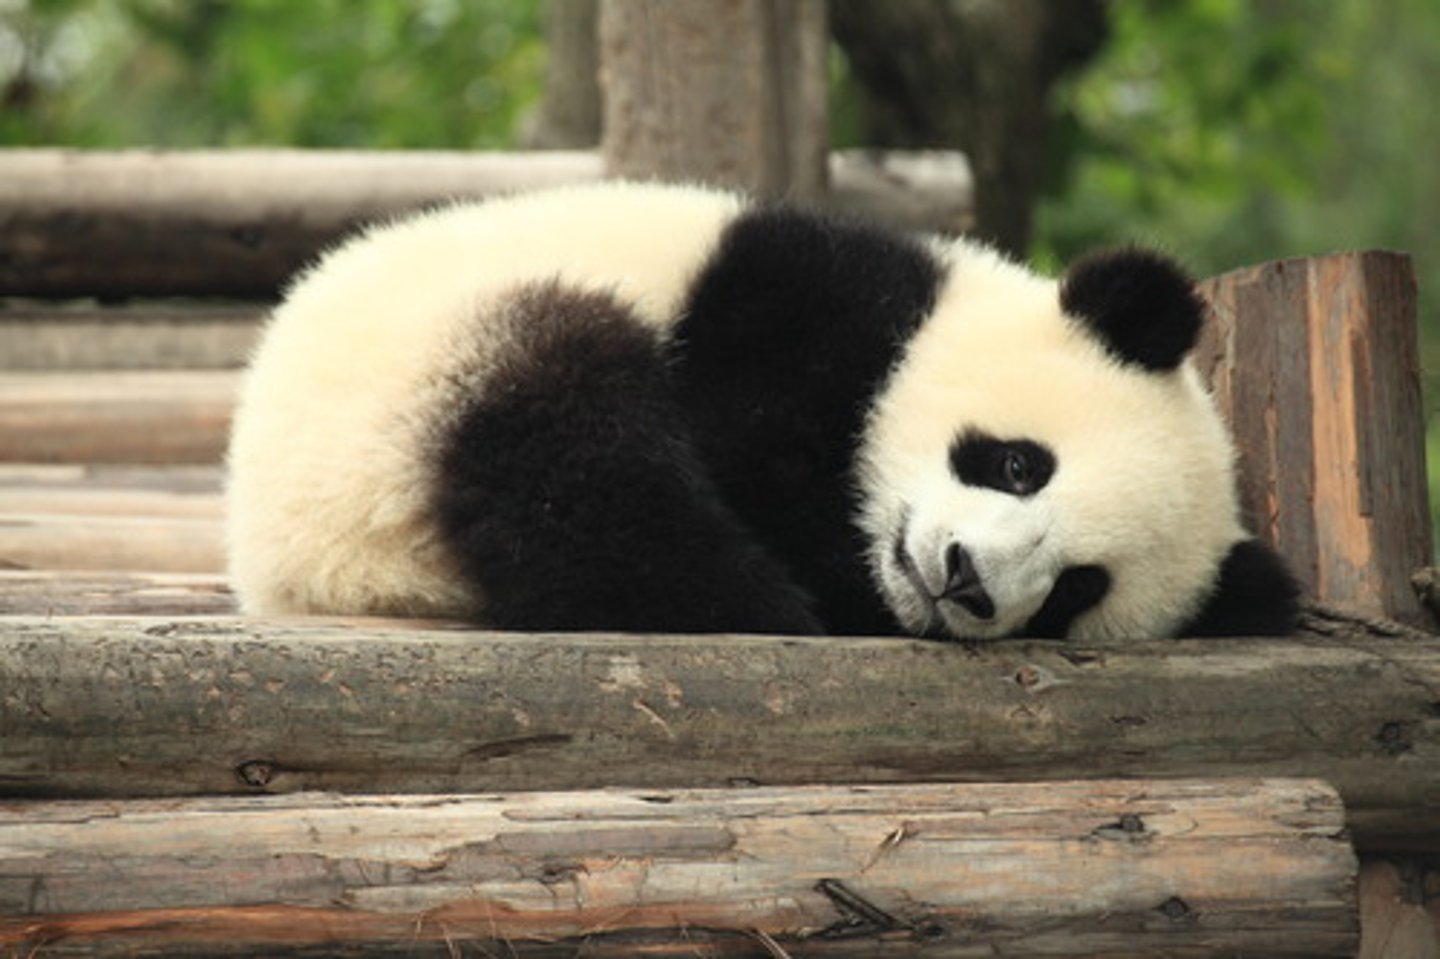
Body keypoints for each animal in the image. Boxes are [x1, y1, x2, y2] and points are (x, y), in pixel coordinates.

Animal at [225, 180, 1298, 641]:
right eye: (1019, 463)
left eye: (1079, 587)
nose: (964, 581)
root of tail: (277, 560)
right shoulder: (793, 304)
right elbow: (748, 446)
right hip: (418, 380)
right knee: (576, 455)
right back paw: (755, 600)